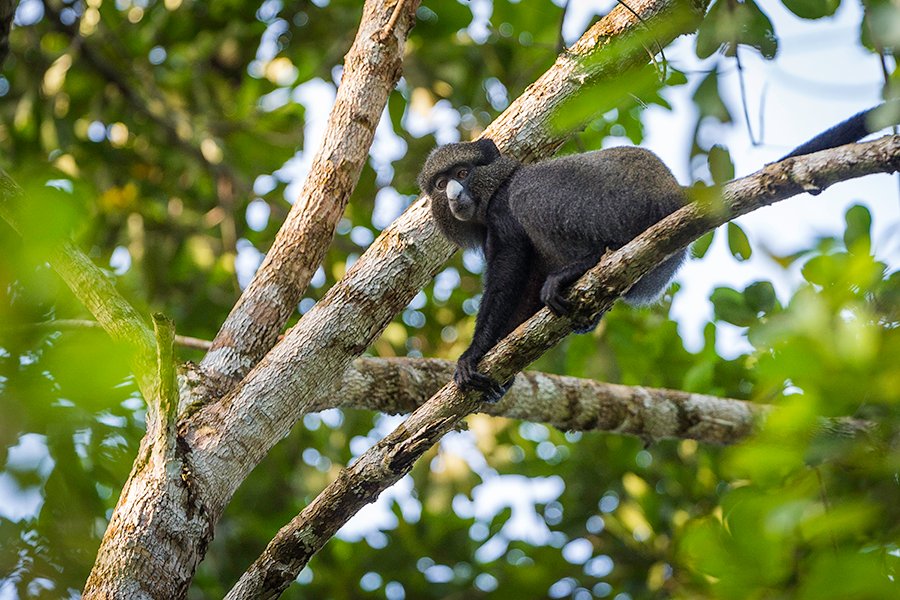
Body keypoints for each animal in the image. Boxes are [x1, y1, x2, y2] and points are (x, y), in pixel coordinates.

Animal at [418, 103, 896, 400]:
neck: (492, 189)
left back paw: (584, 264)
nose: (455, 194)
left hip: (606, 203)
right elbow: (523, 291)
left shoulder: (502, 214)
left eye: (463, 173)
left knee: (540, 195)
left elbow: (509, 274)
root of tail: (673, 192)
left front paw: (473, 355)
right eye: (441, 184)